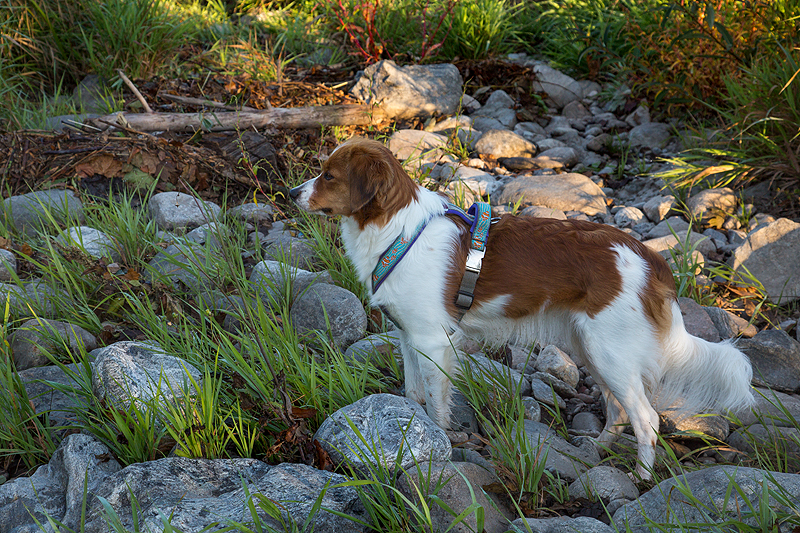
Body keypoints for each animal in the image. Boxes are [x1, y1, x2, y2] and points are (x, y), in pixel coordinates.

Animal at [290, 137, 752, 478]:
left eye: (328, 175)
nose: (292, 192)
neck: (400, 232)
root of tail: (649, 258)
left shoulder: (432, 341)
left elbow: (436, 403)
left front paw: (439, 442)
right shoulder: (408, 335)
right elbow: (413, 393)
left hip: (610, 352)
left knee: (647, 419)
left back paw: (640, 477)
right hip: (593, 349)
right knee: (620, 409)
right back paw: (598, 448)